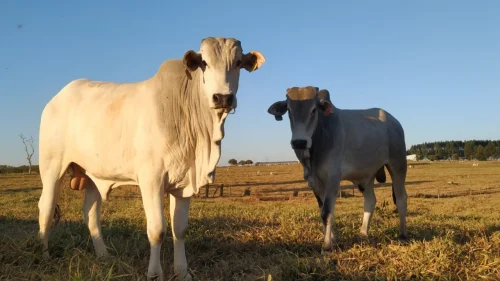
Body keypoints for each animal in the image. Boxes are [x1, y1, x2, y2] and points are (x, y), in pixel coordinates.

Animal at [37, 36, 266, 278]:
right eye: (204, 62)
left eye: (238, 62)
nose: (223, 97)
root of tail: (55, 100)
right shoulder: (151, 180)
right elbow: (157, 230)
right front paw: (155, 274)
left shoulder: (184, 183)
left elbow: (179, 229)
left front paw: (182, 272)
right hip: (52, 167)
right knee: (46, 208)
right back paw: (44, 255)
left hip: (92, 174)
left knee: (90, 213)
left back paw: (103, 255)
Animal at [268, 86, 408, 249]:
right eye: (289, 110)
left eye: (314, 110)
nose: (299, 142)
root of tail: (395, 122)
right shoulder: (313, 182)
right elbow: (322, 211)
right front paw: (332, 239)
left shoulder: (333, 179)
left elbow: (327, 212)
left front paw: (327, 245)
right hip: (366, 176)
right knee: (370, 201)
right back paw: (363, 233)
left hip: (398, 164)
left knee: (401, 198)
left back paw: (402, 234)